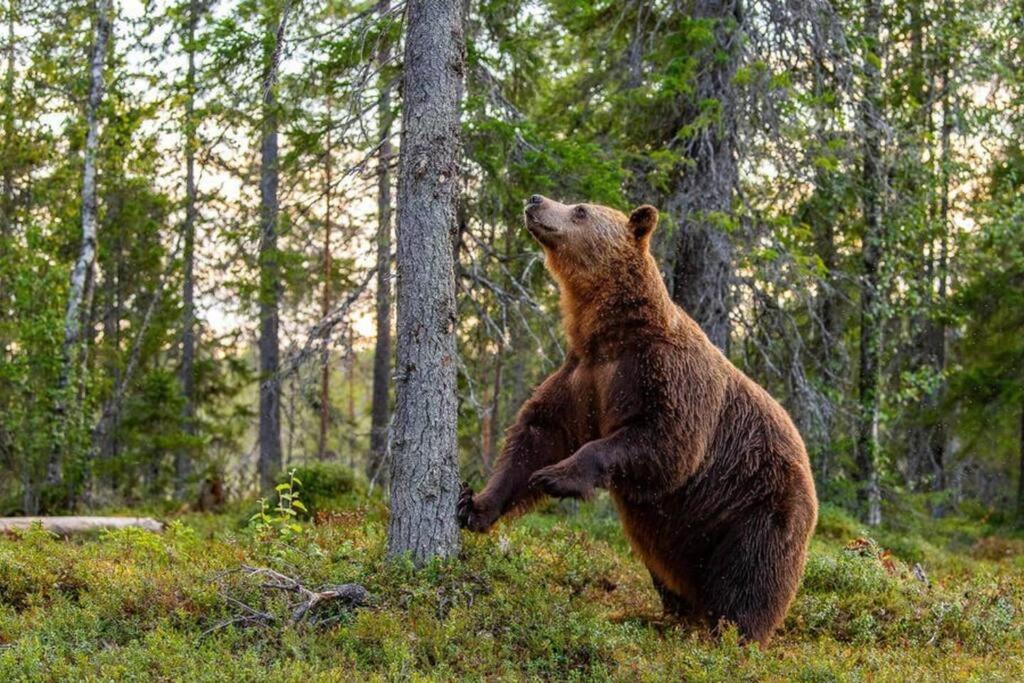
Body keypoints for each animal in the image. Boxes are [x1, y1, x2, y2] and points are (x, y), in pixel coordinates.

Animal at [457, 194, 818, 645]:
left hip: (759, 507)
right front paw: (474, 505)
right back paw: (671, 616)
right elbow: (537, 435)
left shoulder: (664, 375)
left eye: (580, 210)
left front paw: (557, 476)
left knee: (749, 577)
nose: (535, 200)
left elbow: (664, 443)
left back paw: (732, 635)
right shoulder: (582, 377)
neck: (610, 332)